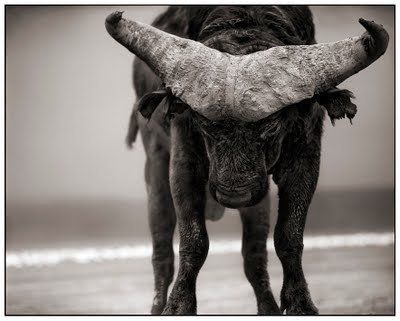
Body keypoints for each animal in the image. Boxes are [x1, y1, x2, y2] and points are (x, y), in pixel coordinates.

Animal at [105, 6, 388, 314]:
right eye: (205, 126)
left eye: (272, 126)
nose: (235, 195)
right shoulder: (183, 164)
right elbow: (193, 240)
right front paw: (179, 305)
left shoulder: (305, 158)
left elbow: (289, 235)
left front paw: (300, 303)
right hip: (156, 167)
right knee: (162, 247)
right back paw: (158, 304)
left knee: (254, 255)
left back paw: (268, 307)